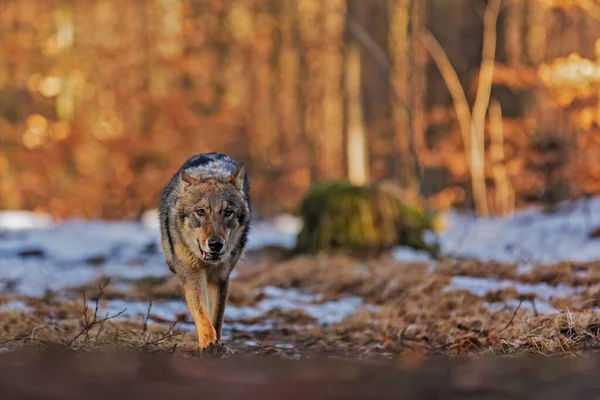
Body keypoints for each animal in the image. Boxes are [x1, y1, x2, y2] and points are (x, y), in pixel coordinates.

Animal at [157, 153, 251, 350]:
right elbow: (203, 315)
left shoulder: (221, 279)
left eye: (228, 212)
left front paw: (216, 345)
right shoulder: (193, 277)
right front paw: (209, 344)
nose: (216, 244)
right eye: (200, 212)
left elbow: (216, 318)